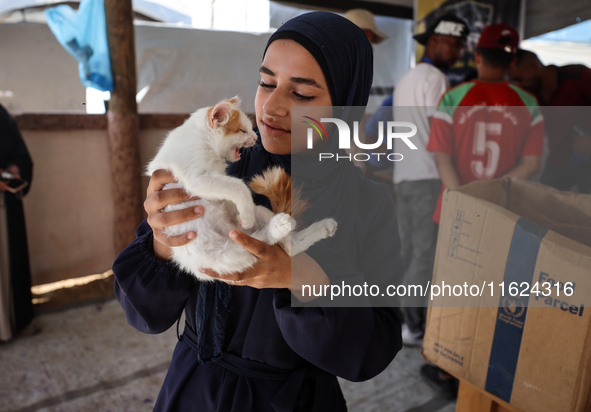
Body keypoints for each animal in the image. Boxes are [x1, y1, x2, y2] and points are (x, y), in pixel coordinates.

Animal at [147, 97, 338, 280]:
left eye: (250, 130)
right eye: (243, 131)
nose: (255, 137)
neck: (201, 139)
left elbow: (236, 186)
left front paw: (245, 214)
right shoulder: (197, 179)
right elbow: (238, 186)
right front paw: (246, 216)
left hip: (258, 214)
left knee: (290, 247)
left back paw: (319, 227)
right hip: (226, 255)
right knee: (264, 240)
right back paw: (275, 225)